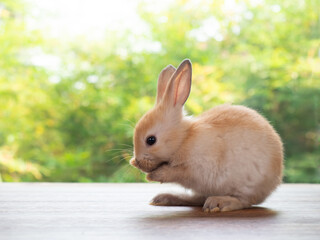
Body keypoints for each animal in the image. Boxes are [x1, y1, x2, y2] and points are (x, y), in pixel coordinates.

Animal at [129, 59, 282, 212]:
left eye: (151, 140)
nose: (137, 162)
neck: (183, 139)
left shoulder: (198, 169)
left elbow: (177, 172)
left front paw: (154, 175)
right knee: (197, 199)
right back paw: (164, 198)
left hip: (246, 186)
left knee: (242, 201)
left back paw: (218, 203)